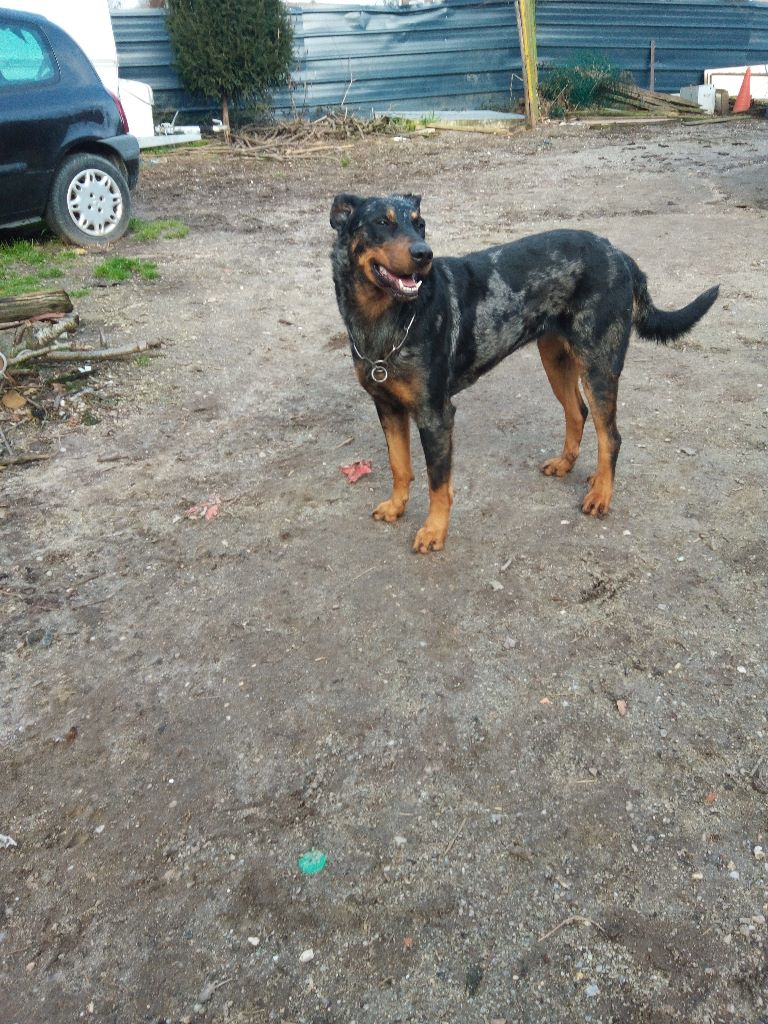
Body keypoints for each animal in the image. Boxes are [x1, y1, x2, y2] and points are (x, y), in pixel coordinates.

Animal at [330, 193, 718, 553]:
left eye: (419, 224)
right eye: (382, 222)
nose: (424, 253)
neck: (385, 319)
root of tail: (618, 253)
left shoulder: (435, 414)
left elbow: (437, 483)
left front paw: (434, 531)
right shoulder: (387, 407)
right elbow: (399, 465)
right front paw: (396, 507)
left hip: (599, 366)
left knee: (611, 436)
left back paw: (602, 494)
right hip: (556, 360)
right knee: (578, 412)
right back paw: (569, 466)